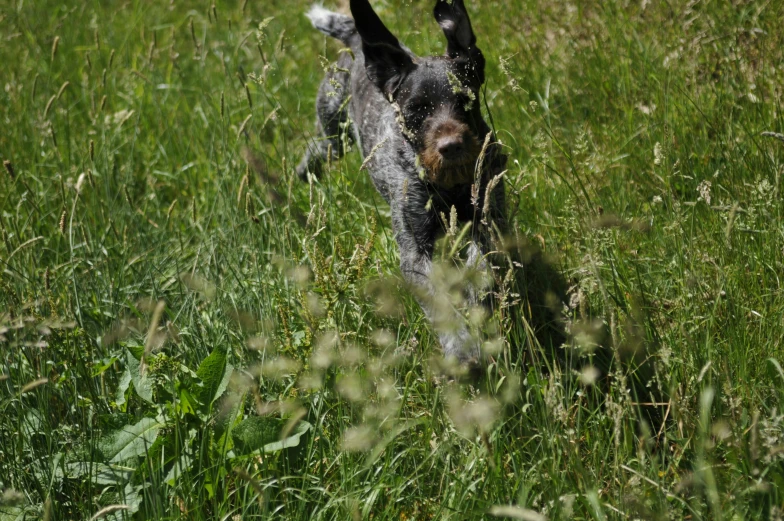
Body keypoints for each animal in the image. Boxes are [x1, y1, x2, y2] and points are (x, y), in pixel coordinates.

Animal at [300, 0, 528, 368]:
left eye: (465, 100)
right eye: (415, 110)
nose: (451, 146)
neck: (448, 186)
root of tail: (357, 40)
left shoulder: (489, 219)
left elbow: (479, 267)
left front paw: (472, 297)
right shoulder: (414, 253)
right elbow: (440, 301)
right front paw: (461, 347)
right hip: (333, 137)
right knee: (311, 158)